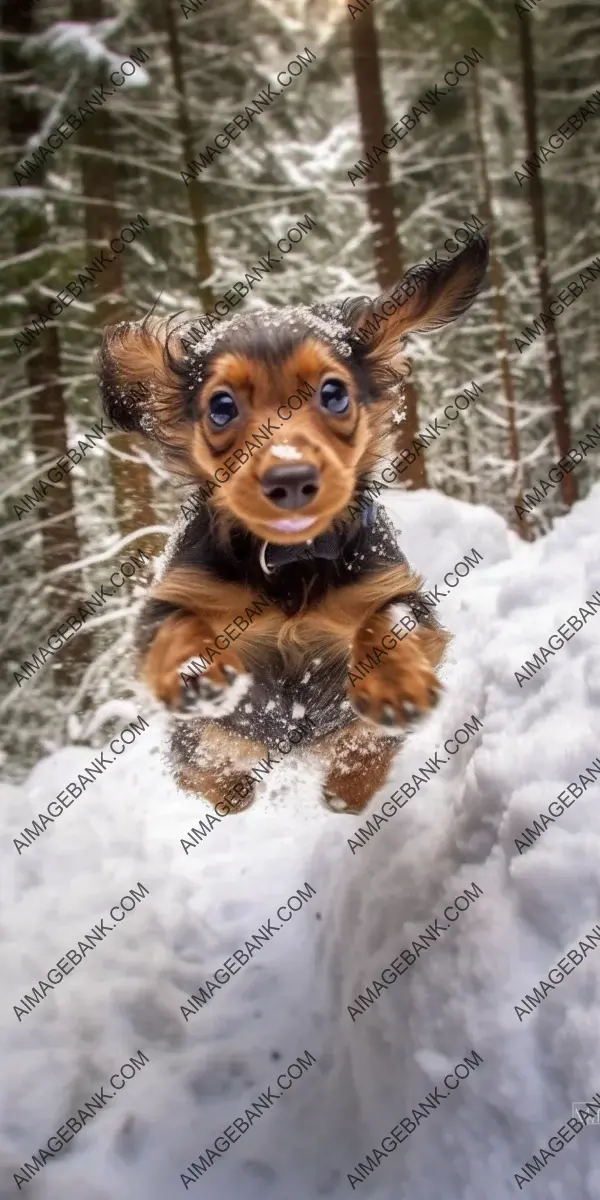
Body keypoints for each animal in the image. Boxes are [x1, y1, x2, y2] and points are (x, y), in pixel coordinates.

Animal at [98, 234, 489, 816]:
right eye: (221, 406)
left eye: (334, 394)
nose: (290, 479)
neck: (290, 562)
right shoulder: (172, 598)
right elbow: (176, 625)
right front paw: (196, 672)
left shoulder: (393, 590)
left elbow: (388, 620)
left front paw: (393, 686)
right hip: (206, 750)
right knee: (209, 774)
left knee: (357, 759)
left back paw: (350, 783)